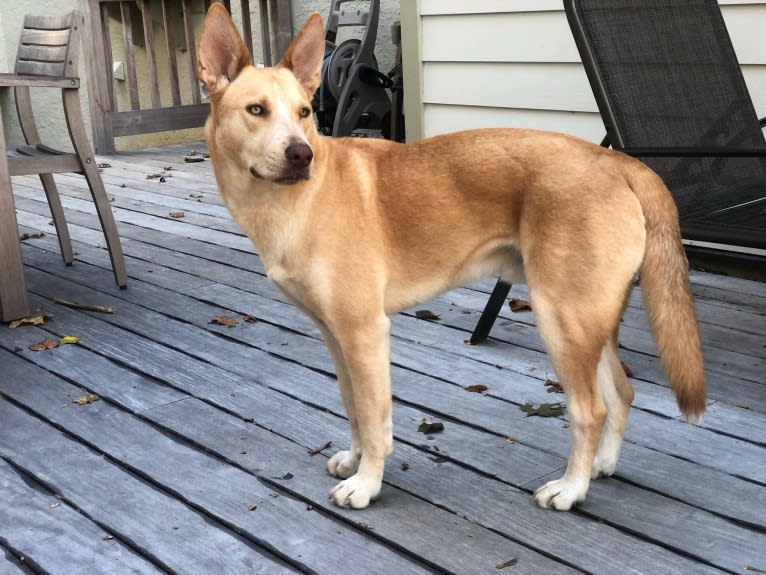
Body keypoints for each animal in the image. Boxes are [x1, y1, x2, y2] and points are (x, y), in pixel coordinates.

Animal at [198, 5, 708, 512]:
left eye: (304, 112)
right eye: (257, 110)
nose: (301, 155)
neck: (288, 203)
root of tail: (621, 162)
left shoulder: (365, 333)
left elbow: (375, 419)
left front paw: (367, 483)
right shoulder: (335, 335)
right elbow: (353, 407)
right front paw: (354, 461)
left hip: (561, 319)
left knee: (591, 410)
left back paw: (571, 488)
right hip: (590, 321)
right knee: (622, 392)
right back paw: (603, 466)